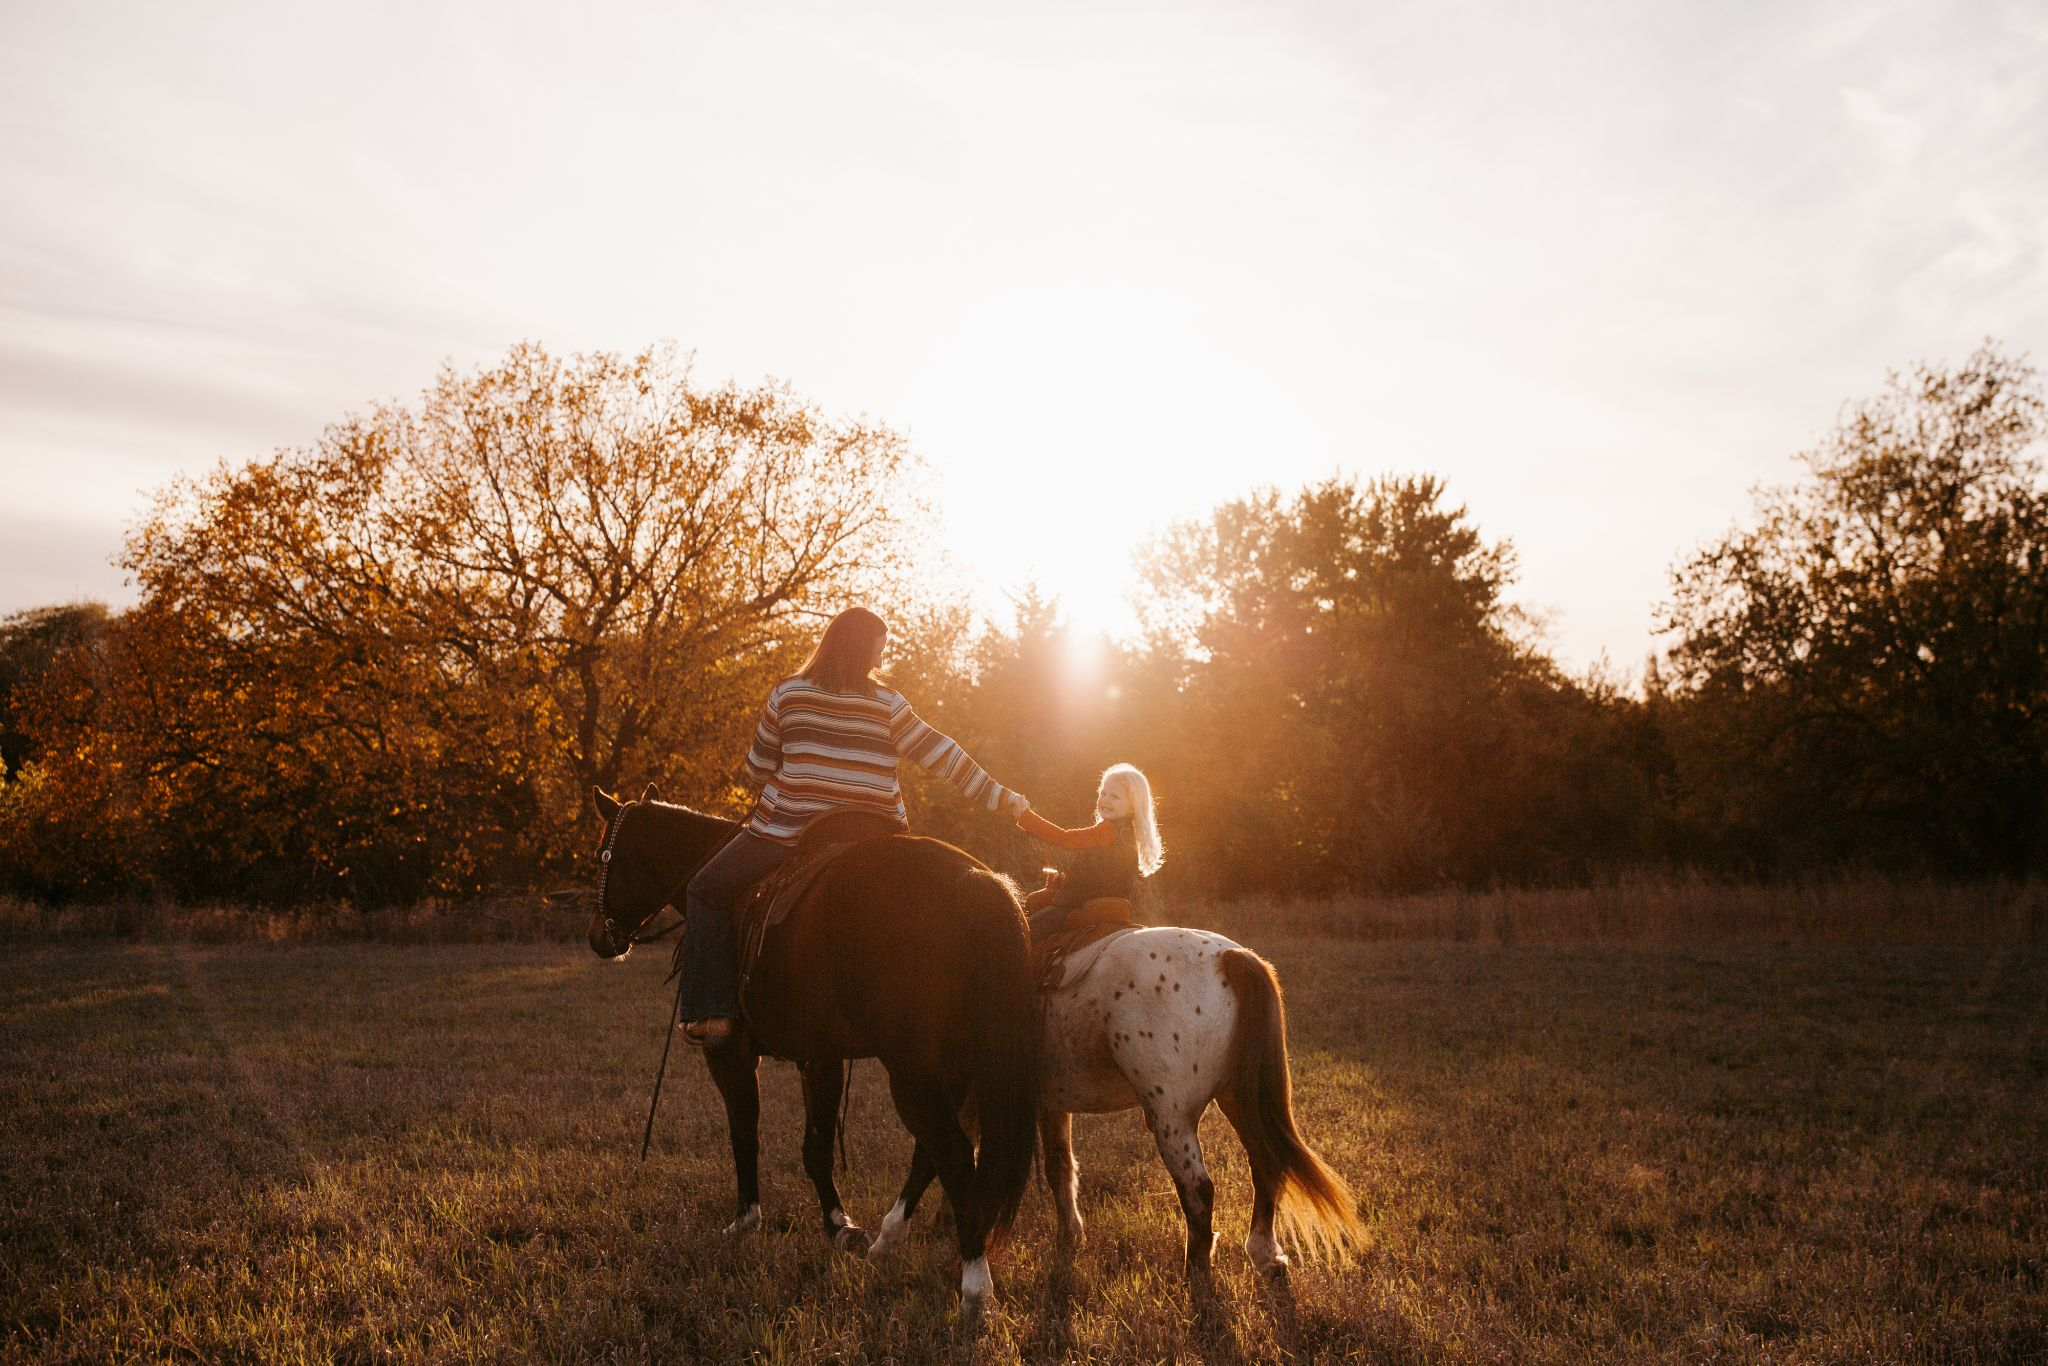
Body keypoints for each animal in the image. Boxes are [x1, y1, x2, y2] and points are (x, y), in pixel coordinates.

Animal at [589, 790, 1040, 1310]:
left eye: (603, 855)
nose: (597, 937)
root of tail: (977, 884)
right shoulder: (822, 1056)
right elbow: (817, 1146)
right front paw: (839, 1226)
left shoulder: (728, 1053)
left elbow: (745, 1132)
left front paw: (745, 1219)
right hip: (956, 1064)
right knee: (933, 1153)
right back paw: (889, 1239)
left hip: (913, 1069)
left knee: (952, 1153)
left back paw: (974, 1285)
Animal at [864, 925, 1359, 1302]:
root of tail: (1230, 959)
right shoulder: (1046, 1104)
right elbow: (1056, 1168)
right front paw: (1067, 1238)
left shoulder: (953, 1092)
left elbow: (933, 1158)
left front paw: (890, 1238)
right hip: (1238, 1098)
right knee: (1265, 1164)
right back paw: (1265, 1255)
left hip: (1171, 1116)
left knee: (1199, 1190)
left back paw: (1197, 1278)